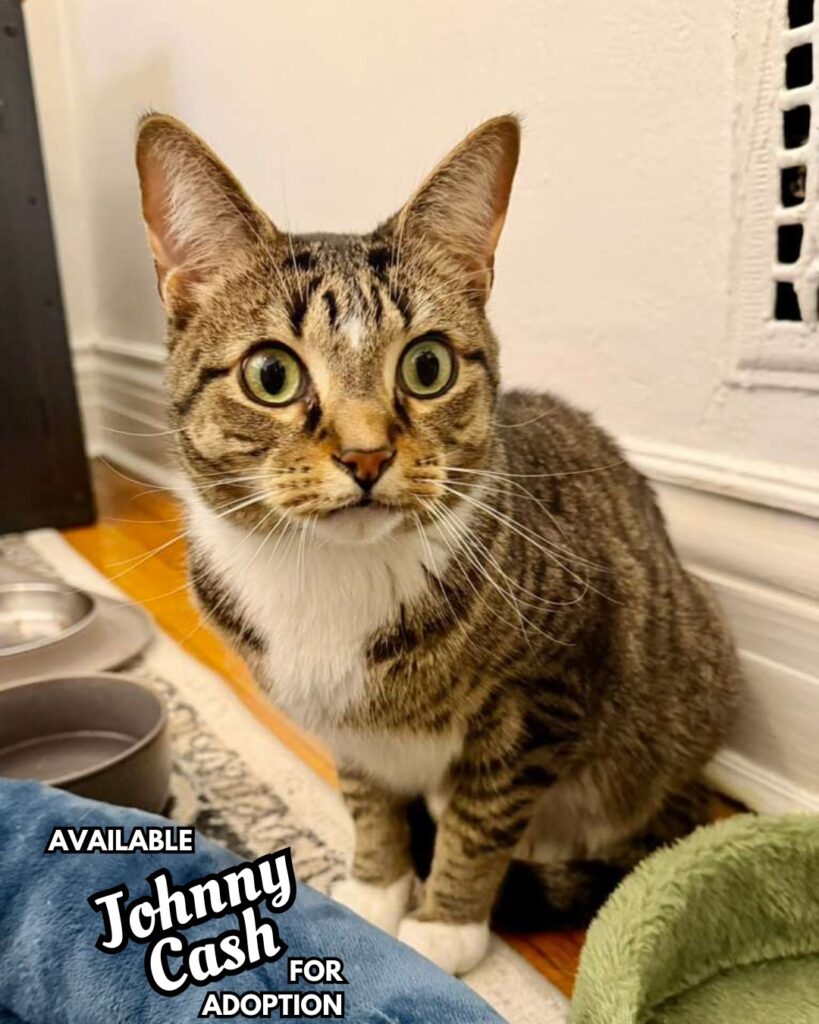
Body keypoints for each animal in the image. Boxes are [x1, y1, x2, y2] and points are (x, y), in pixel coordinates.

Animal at [135, 112, 742, 975]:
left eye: (427, 366)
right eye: (270, 375)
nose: (364, 456)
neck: (331, 579)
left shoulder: (544, 692)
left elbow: (480, 816)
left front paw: (443, 925)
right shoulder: (345, 727)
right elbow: (369, 800)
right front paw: (376, 888)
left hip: (669, 706)